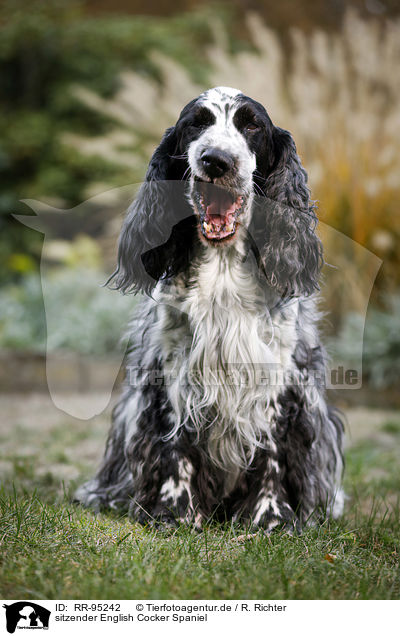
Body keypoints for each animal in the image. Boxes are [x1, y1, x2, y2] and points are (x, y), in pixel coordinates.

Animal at [76, 85, 344, 532]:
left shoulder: (280, 373)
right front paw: (174, 511)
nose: (216, 159)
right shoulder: (171, 366)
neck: (222, 267)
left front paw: (270, 516)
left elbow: (271, 448)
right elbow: (175, 441)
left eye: (251, 125)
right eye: (196, 124)